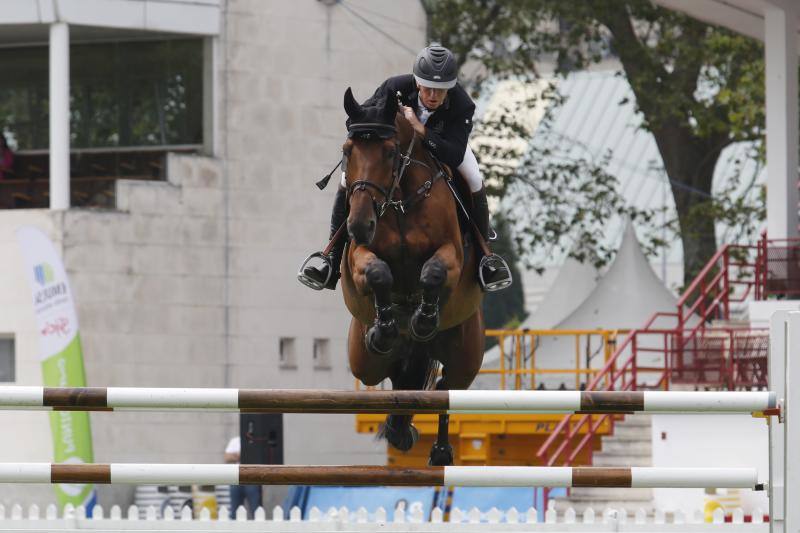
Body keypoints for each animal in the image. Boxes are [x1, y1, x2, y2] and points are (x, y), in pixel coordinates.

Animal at [338, 87, 485, 466]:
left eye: (390, 152)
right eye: (347, 151)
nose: (359, 226)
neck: (400, 200)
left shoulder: (452, 254)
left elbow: (434, 272)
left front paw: (423, 318)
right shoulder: (359, 257)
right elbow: (378, 273)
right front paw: (385, 327)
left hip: (465, 356)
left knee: (445, 388)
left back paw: (440, 450)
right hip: (365, 363)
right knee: (399, 379)